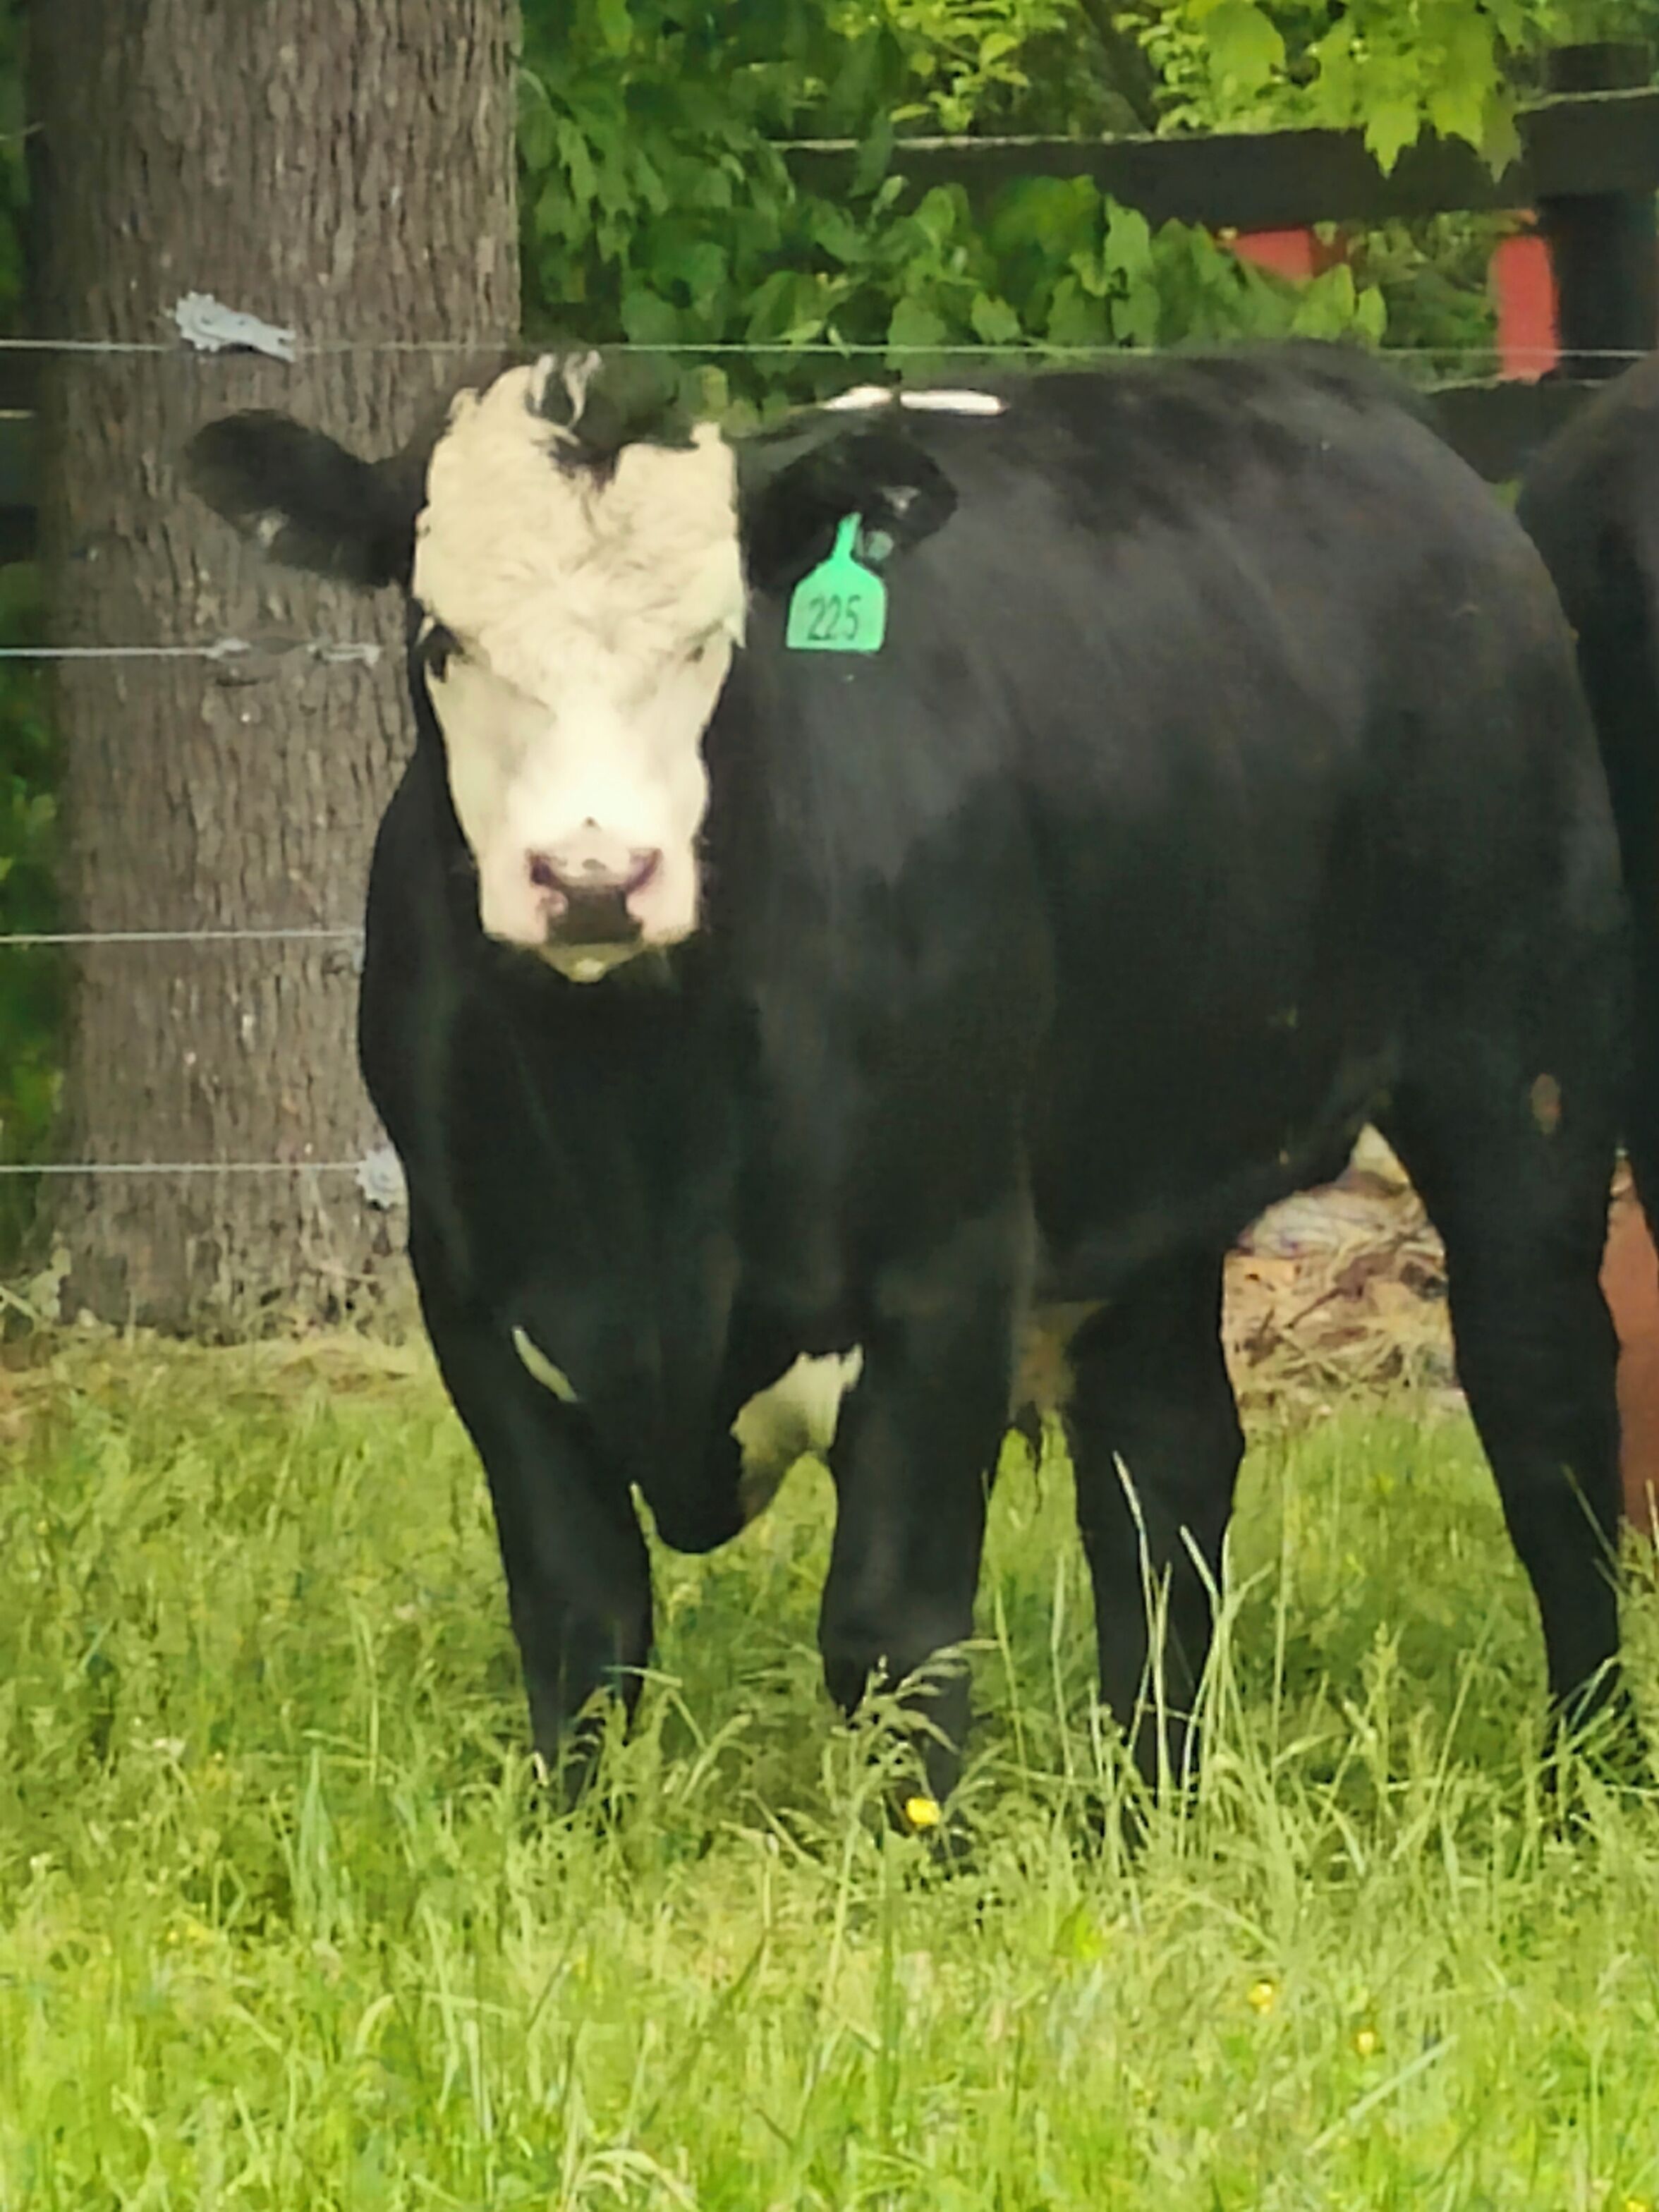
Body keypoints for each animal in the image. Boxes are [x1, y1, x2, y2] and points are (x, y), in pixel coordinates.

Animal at [185, 341, 1640, 1821]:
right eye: (443, 639)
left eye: (711, 638)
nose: (592, 878)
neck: (639, 1131)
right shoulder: (476, 1289)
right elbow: (580, 1623)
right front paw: (566, 1838)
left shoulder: (947, 1266)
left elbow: (888, 1630)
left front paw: (919, 1849)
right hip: (1143, 1167)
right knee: (1165, 1468)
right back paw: (1148, 1803)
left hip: (1518, 1062)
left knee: (1544, 1409)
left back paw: (1583, 1768)